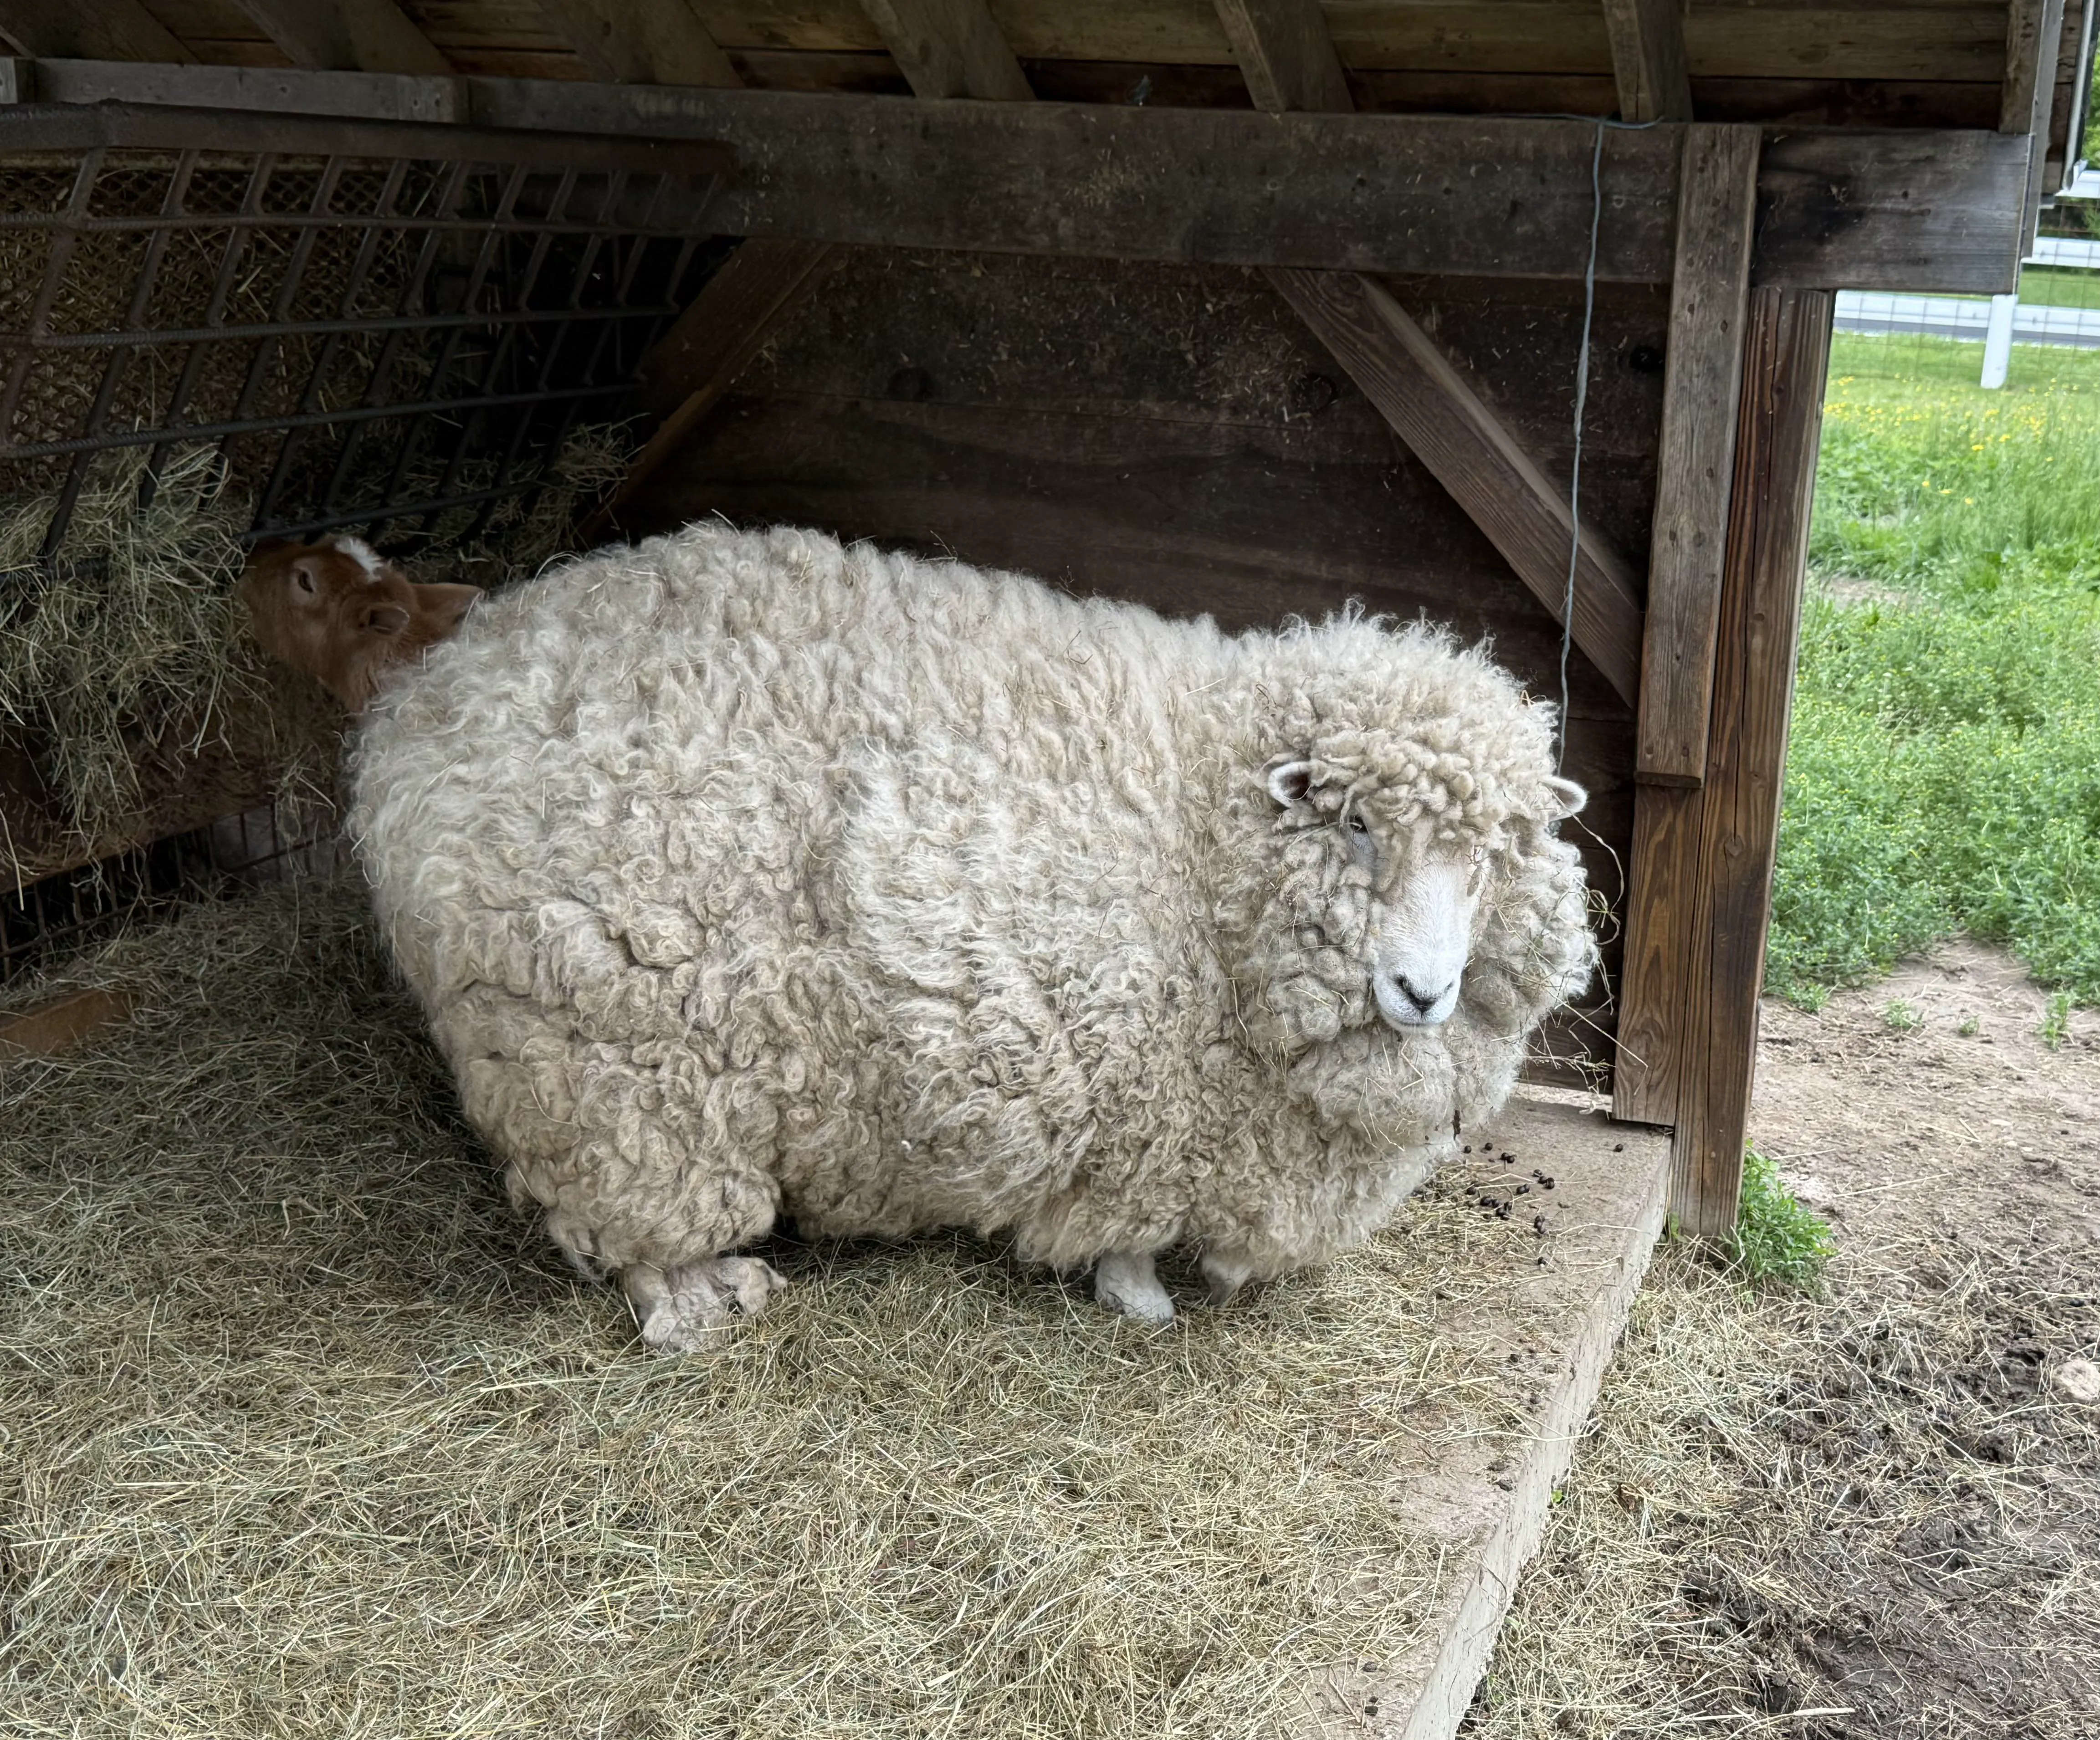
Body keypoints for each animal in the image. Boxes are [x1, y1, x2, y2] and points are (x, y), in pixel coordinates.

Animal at [348, 523, 1596, 1349]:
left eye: (1491, 857)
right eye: (1355, 825)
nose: (1424, 991)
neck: (1201, 828)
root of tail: (428, 714)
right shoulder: (1146, 1097)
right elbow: (1128, 1225)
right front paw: (1136, 1295)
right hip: (613, 1064)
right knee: (639, 1222)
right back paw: (698, 1304)